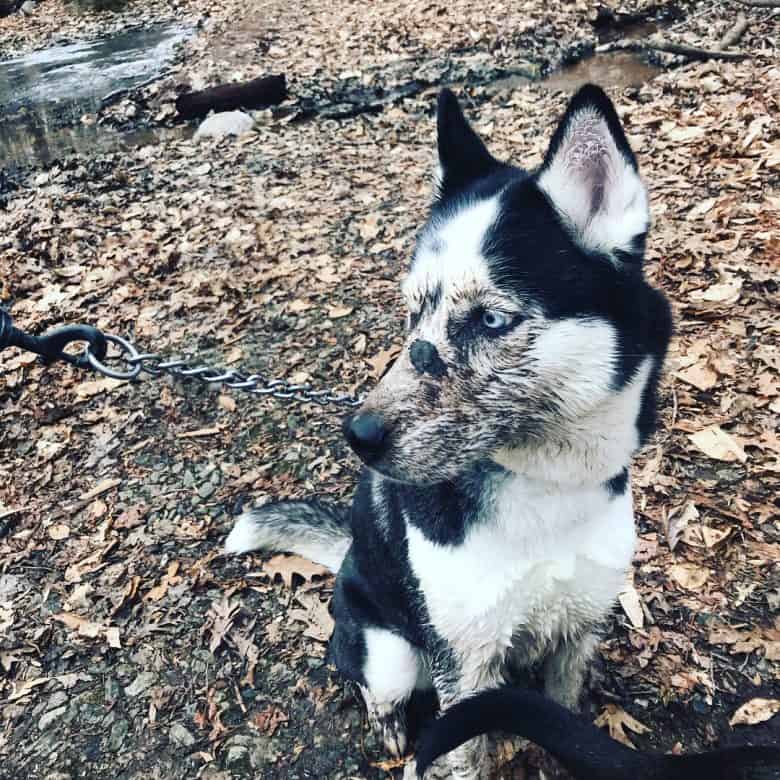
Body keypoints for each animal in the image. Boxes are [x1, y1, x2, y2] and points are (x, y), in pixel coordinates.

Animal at [225, 82, 676, 776]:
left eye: (489, 319)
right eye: (414, 312)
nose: (357, 434)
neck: (544, 489)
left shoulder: (576, 634)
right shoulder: (462, 669)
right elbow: (467, 756)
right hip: (390, 650)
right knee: (374, 686)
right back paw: (388, 723)